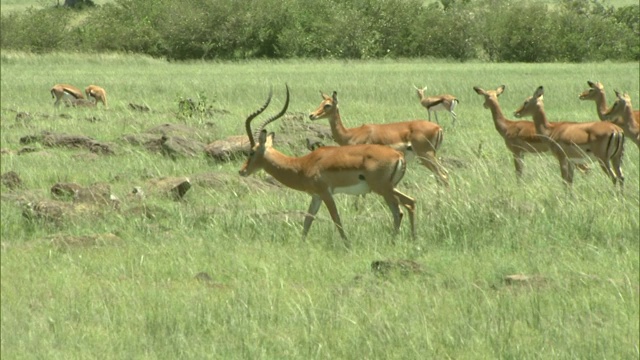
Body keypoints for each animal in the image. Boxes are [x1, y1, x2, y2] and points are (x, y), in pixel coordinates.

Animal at [239, 86, 416, 246]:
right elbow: (308, 220)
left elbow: (336, 218)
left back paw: (396, 241)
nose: (242, 171)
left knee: (399, 210)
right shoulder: (316, 196)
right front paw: (301, 244)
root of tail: (398, 155)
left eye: (251, 152)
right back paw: (410, 239)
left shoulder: (326, 193)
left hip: (383, 189)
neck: (303, 164)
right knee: (410, 202)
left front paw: (347, 245)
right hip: (389, 188)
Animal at [310, 90, 450, 187]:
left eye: (327, 105)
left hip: (426, 155)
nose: (311, 115)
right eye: (321, 102)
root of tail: (438, 127)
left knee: (444, 175)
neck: (351, 134)